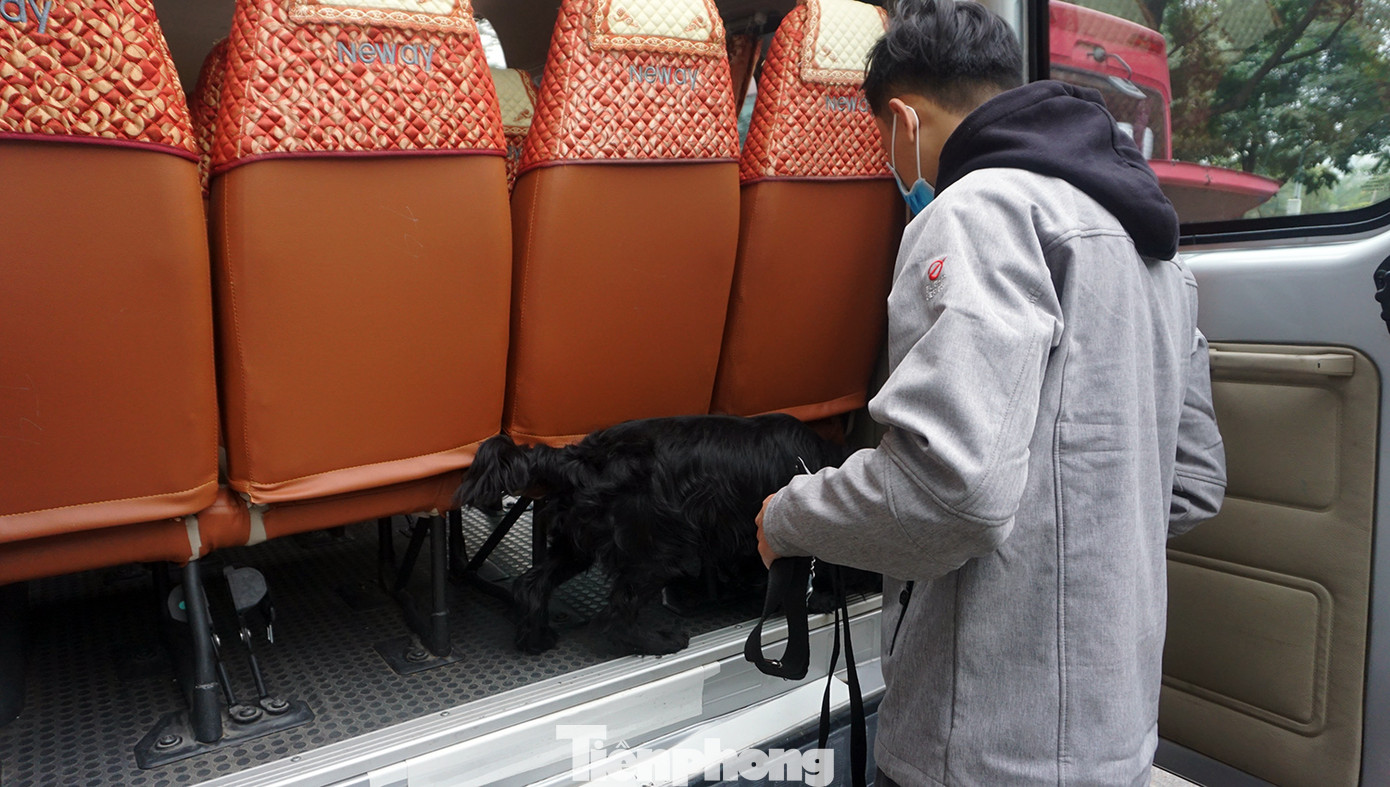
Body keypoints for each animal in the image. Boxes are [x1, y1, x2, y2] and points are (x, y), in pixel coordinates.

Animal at [456, 413, 876, 655]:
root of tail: (577, 457)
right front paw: (820, 598)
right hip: (660, 550)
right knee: (615, 614)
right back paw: (660, 641)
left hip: (577, 543)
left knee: (531, 584)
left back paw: (535, 640)